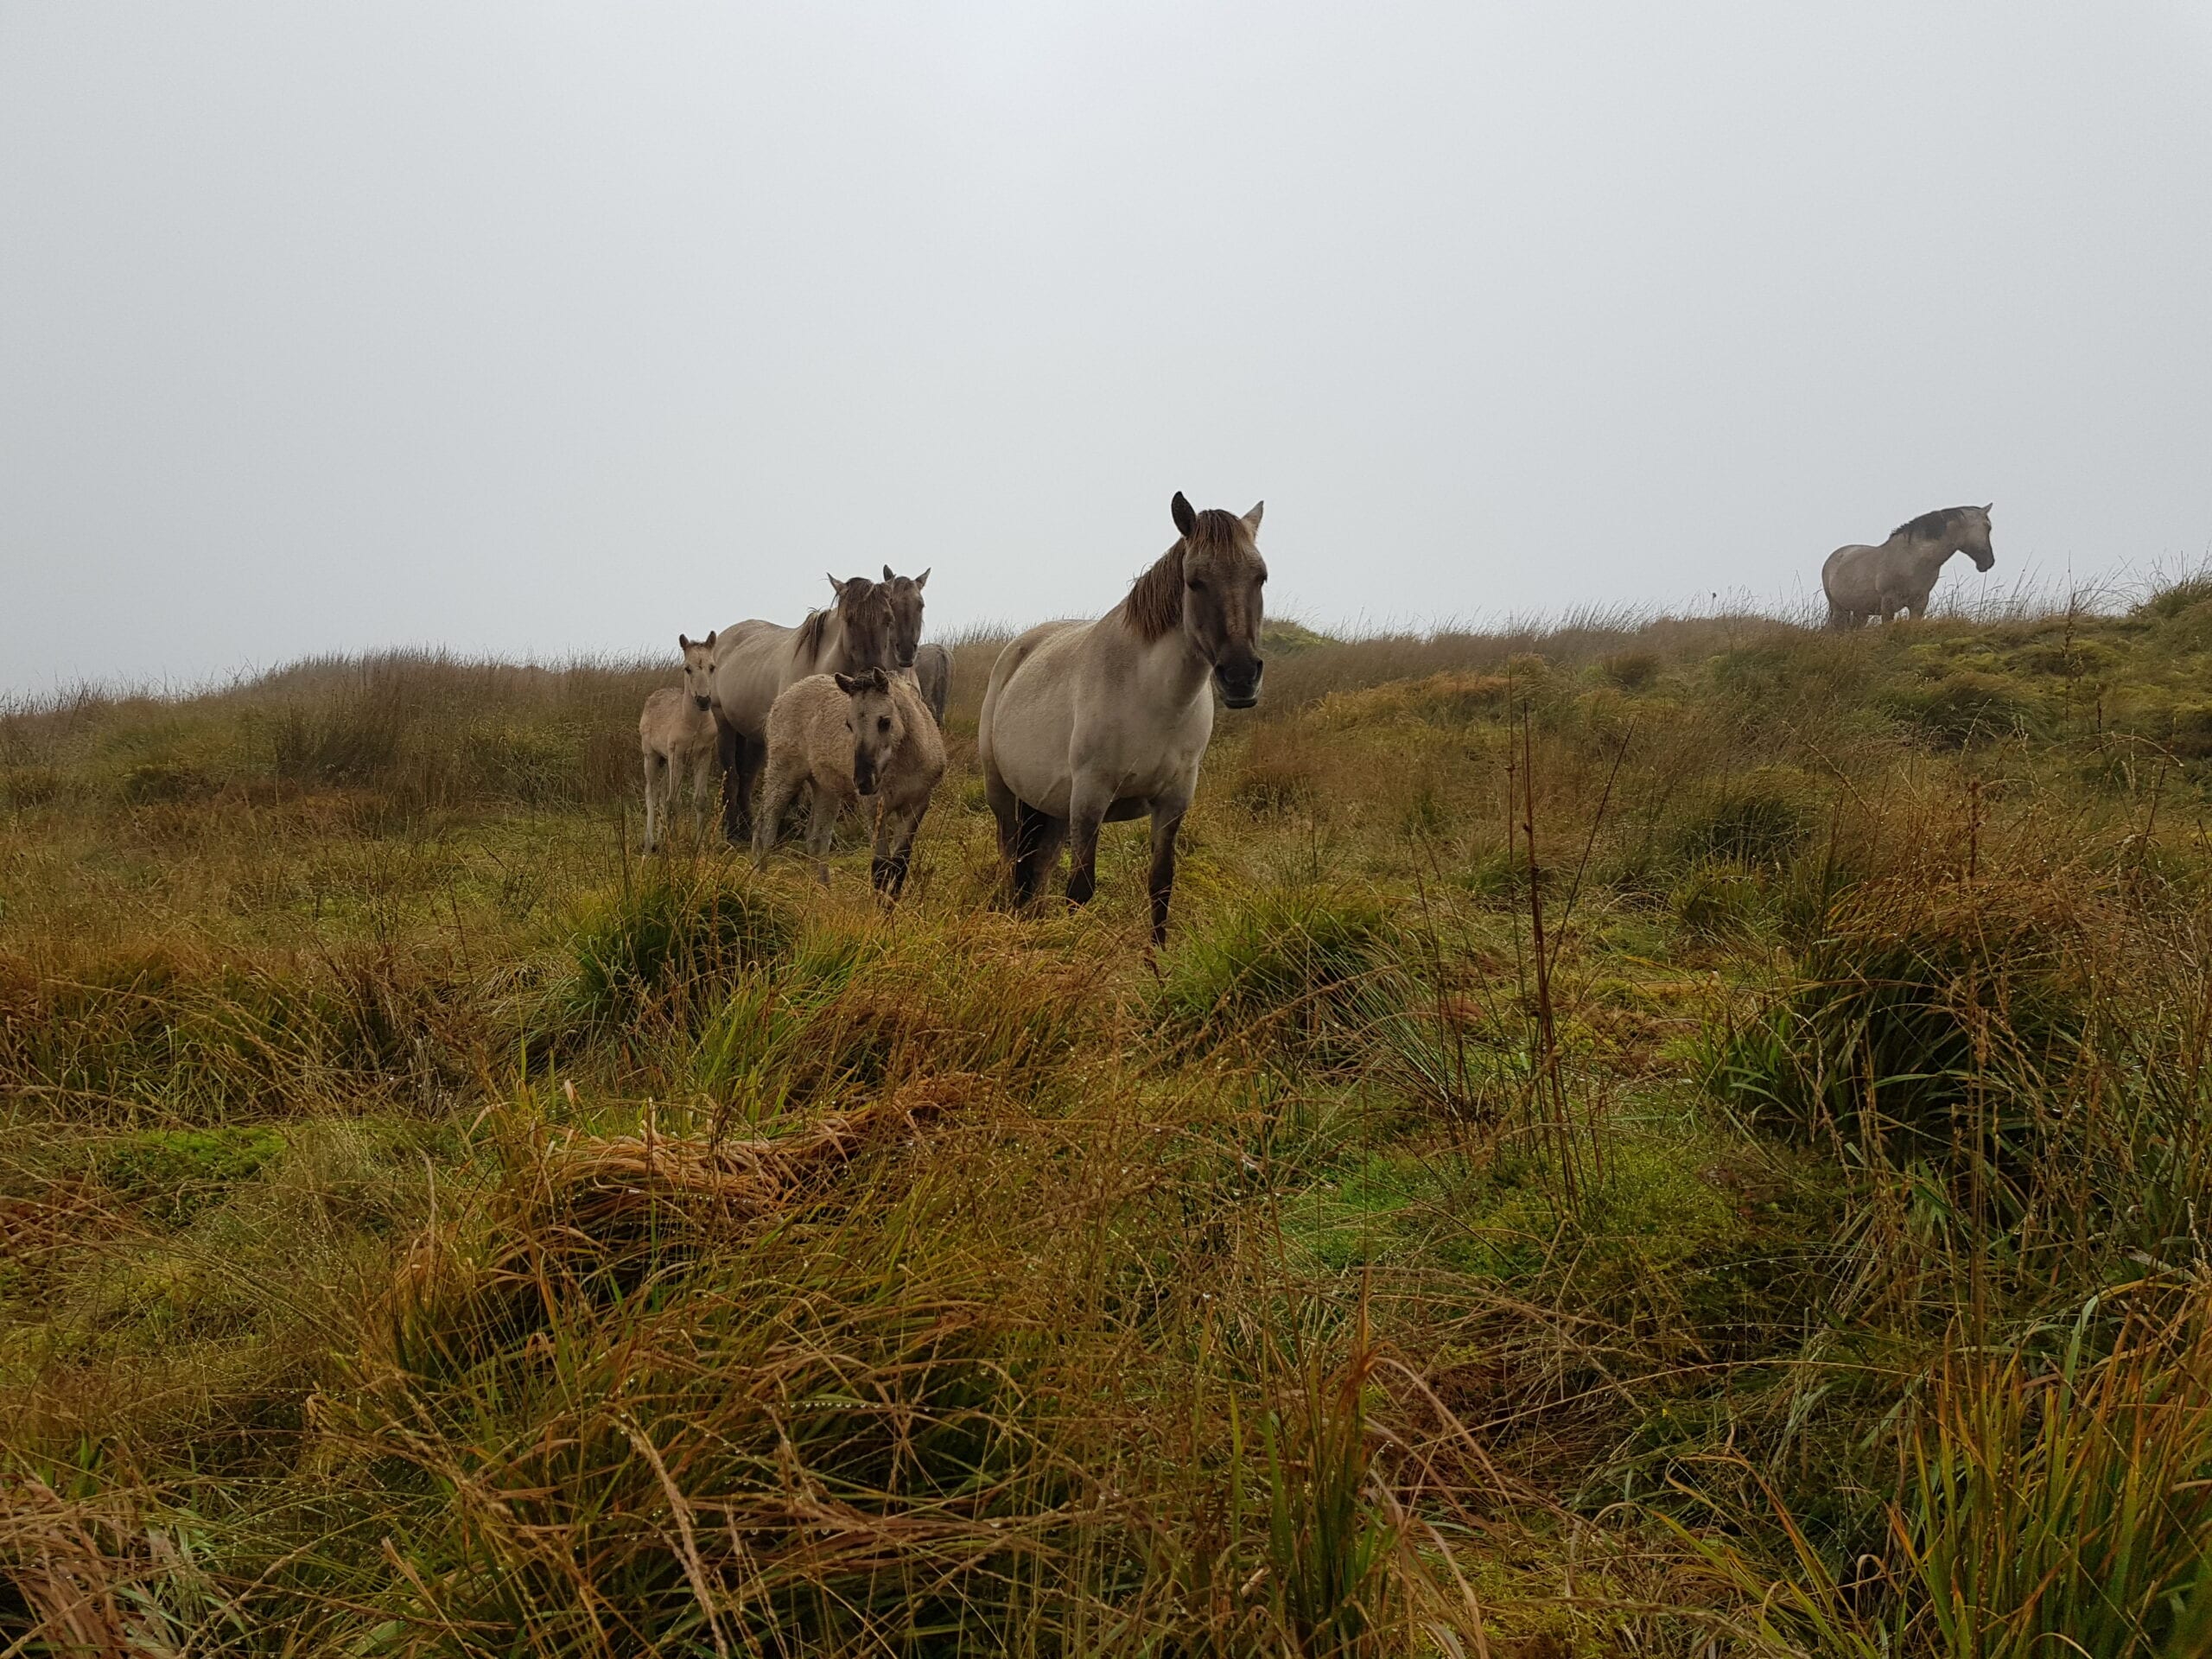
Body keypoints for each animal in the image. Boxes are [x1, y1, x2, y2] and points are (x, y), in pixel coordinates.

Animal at [698, 579, 889, 844]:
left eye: (888, 619)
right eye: (849, 620)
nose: (873, 675)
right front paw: (788, 828)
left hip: (754, 736)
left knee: (747, 777)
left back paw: (746, 826)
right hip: (724, 724)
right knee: (733, 777)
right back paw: (733, 830)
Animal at [982, 491, 1274, 946]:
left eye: (1260, 577)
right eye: (1195, 581)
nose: (1241, 677)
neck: (1153, 698)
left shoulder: (1173, 801)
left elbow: (1161, 885)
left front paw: (1156, 962)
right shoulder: (1090, 797)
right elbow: (1080, 889)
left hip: (1051, 808)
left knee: (1039, 867)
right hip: (1003, 793)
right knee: (1012, 855)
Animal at [1822, 504, 1999, 628]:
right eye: (1988, 527)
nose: (1988, 562)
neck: (1913, 560)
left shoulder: (1920, 602)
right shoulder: (1888, 603)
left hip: (1861, 611)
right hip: (1838, 608)